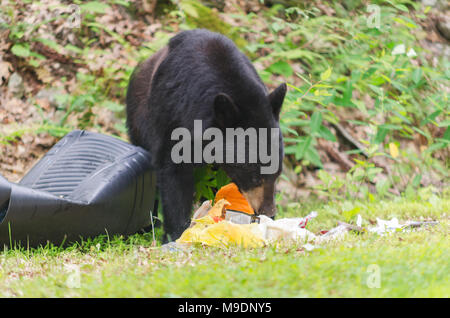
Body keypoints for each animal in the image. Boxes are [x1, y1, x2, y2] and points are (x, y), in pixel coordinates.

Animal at [125, 29, 288, 241]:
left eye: (278, 172)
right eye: (253, 175)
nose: (269, 212)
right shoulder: (172, 116)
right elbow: (172, 173)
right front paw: (176, 233)